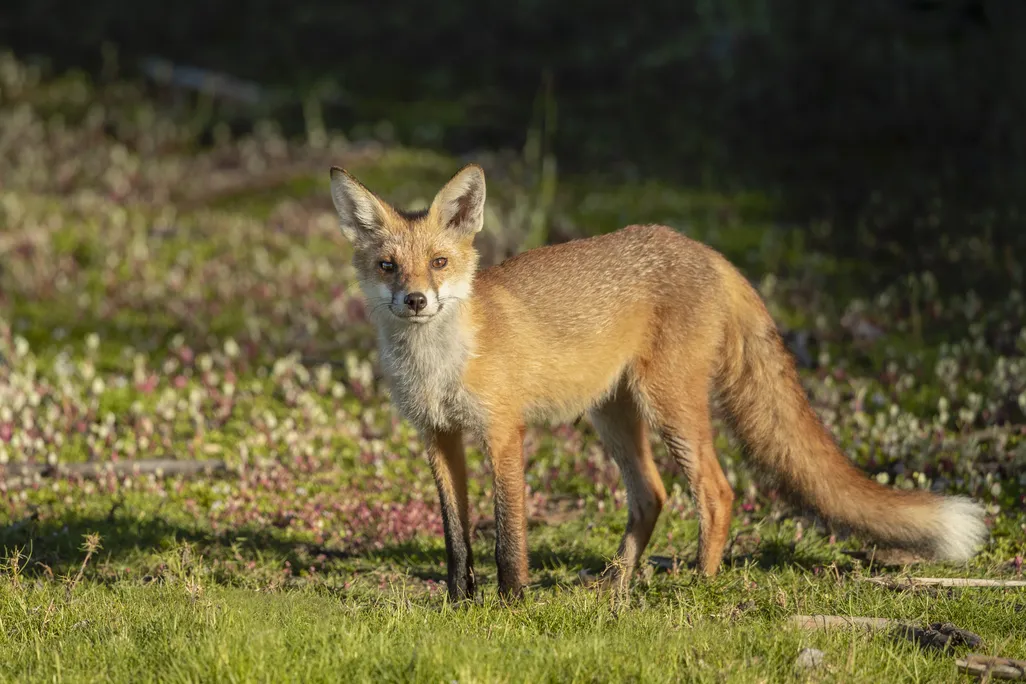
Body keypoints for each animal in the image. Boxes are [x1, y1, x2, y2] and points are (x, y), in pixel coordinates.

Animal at [328, 162, 988, 602]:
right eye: (388, 266)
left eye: (439, 263)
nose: (415, 300)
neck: (436, 366)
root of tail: (703, 249)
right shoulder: (438, 436)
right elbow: (457, 535)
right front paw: (459, 602)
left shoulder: (502, 433)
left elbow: (507, 534)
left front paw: (512, 604)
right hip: (614, 414)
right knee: (652, 495)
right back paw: (616, 587)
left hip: (669, 406)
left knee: (717, 492)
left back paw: (699, 584)